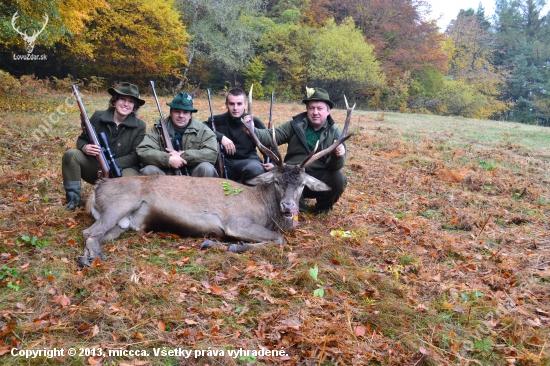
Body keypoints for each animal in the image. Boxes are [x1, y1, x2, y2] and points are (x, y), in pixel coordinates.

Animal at [77, 96, 356, 266]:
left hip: (123, 223)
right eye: (277, 181)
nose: (288, 207)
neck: (265, 210)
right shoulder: (236, 222)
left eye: (301, 185)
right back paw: (90, 259)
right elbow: (278, 239)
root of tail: (97, 189)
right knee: (89, 232)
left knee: (97, 234)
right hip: (119, 204)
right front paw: (226, 245)